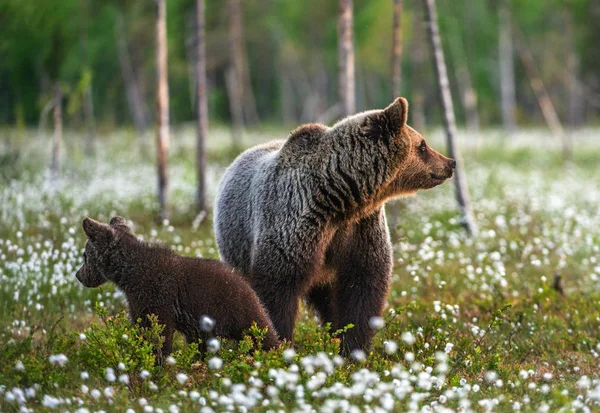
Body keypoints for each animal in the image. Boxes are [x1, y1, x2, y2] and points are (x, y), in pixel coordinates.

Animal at [216, 97, 454, 354]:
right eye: (423, 145)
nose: (450, 163)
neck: (340, 201)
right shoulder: (293, 226)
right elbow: (276, 289)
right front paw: (277, 341)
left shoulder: (361, 229)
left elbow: (362, 289)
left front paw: (353, 347)